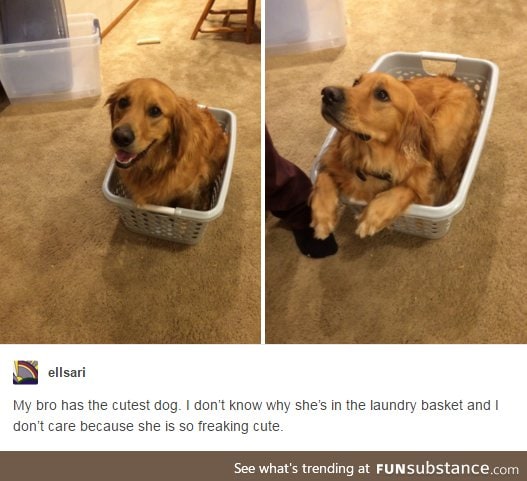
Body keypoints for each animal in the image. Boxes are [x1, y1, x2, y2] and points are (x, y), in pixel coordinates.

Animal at [312, 72, 480, 237]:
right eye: (356, 82)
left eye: (382, 94)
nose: (327, 93)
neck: (370, 160)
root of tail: (459, 82)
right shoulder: (331, 155)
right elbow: (322, 176)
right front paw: (322, 217)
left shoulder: (426, 183)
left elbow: (408, 189)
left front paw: (373, 215)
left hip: (442, 132)